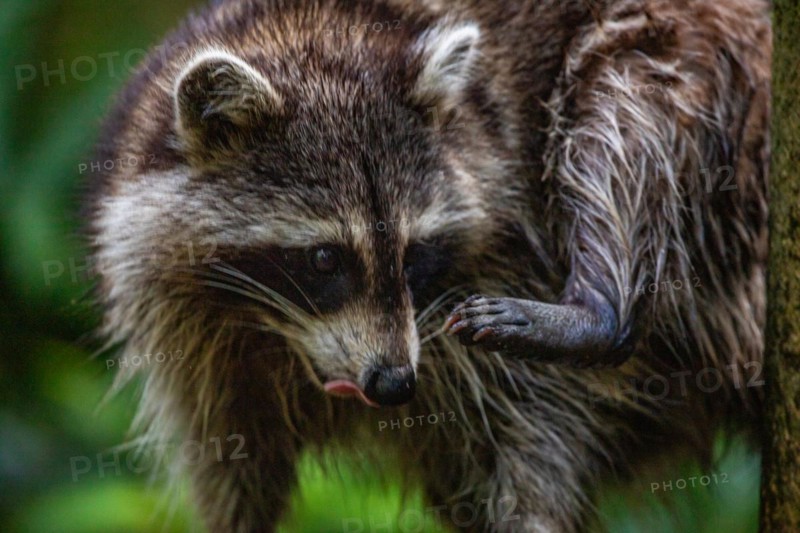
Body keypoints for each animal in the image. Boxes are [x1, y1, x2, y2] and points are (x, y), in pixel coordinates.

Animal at [82, 0, 771, 531]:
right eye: (325, 258)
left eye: (414, 254)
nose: (393, 384)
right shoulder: (199, 353)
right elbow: (235, 472)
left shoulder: (514, 254)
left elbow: (541, 433)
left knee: (623, 110)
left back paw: (601, 311)